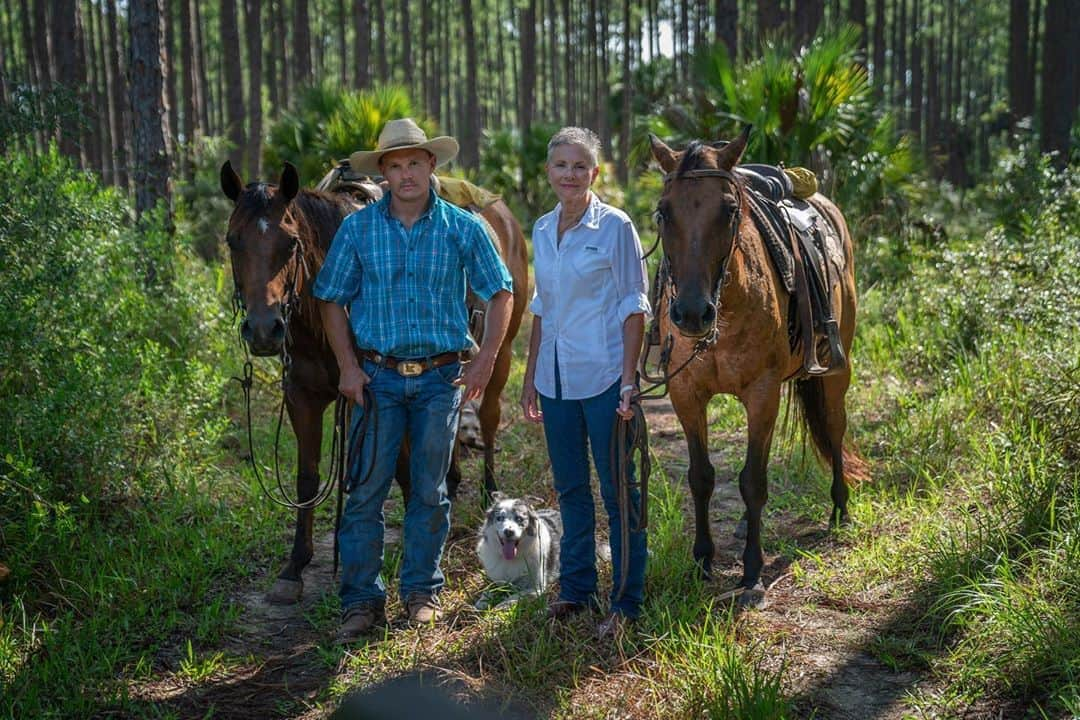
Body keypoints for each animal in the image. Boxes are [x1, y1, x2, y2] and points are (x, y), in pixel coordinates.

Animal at [648, 131, 868, 608]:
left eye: (730, 210)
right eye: (663, 211)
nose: (691, 314)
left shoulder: (762, 394)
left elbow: (753, 481)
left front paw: (752, 571)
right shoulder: (686, 394)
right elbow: (701, 477)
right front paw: (702, 560)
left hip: (836, 372)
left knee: (835, 430)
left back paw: (840, 509)